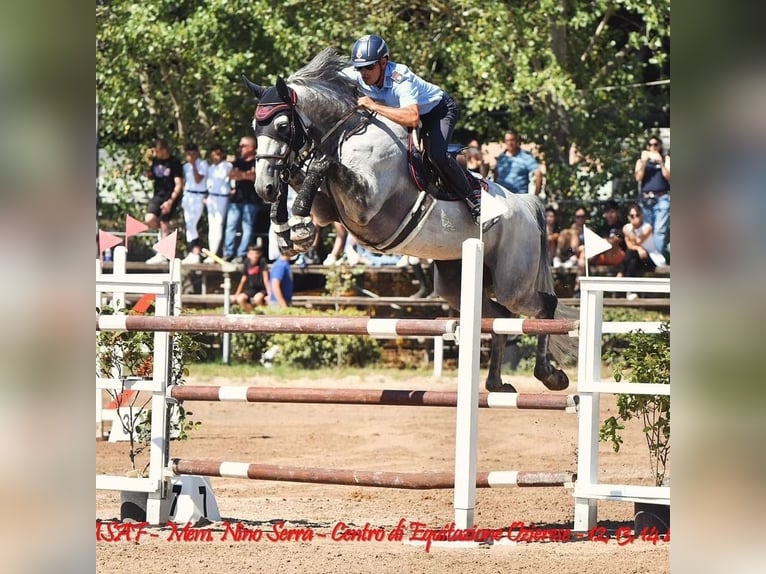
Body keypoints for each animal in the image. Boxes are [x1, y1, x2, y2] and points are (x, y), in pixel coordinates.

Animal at [246, 48, 576, 396]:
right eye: (255, 126)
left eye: (282, 125)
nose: (262, 188)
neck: (346, 135)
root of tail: (526, 204)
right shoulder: (330, 210)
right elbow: (301, 176)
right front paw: (288, 228)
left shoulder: (365, 206)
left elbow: (324, 165)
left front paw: (297, 225)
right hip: (456, 281)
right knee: (499, 316)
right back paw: (497, 383)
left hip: (513, 280)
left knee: (544, 305)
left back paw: (550, 375)